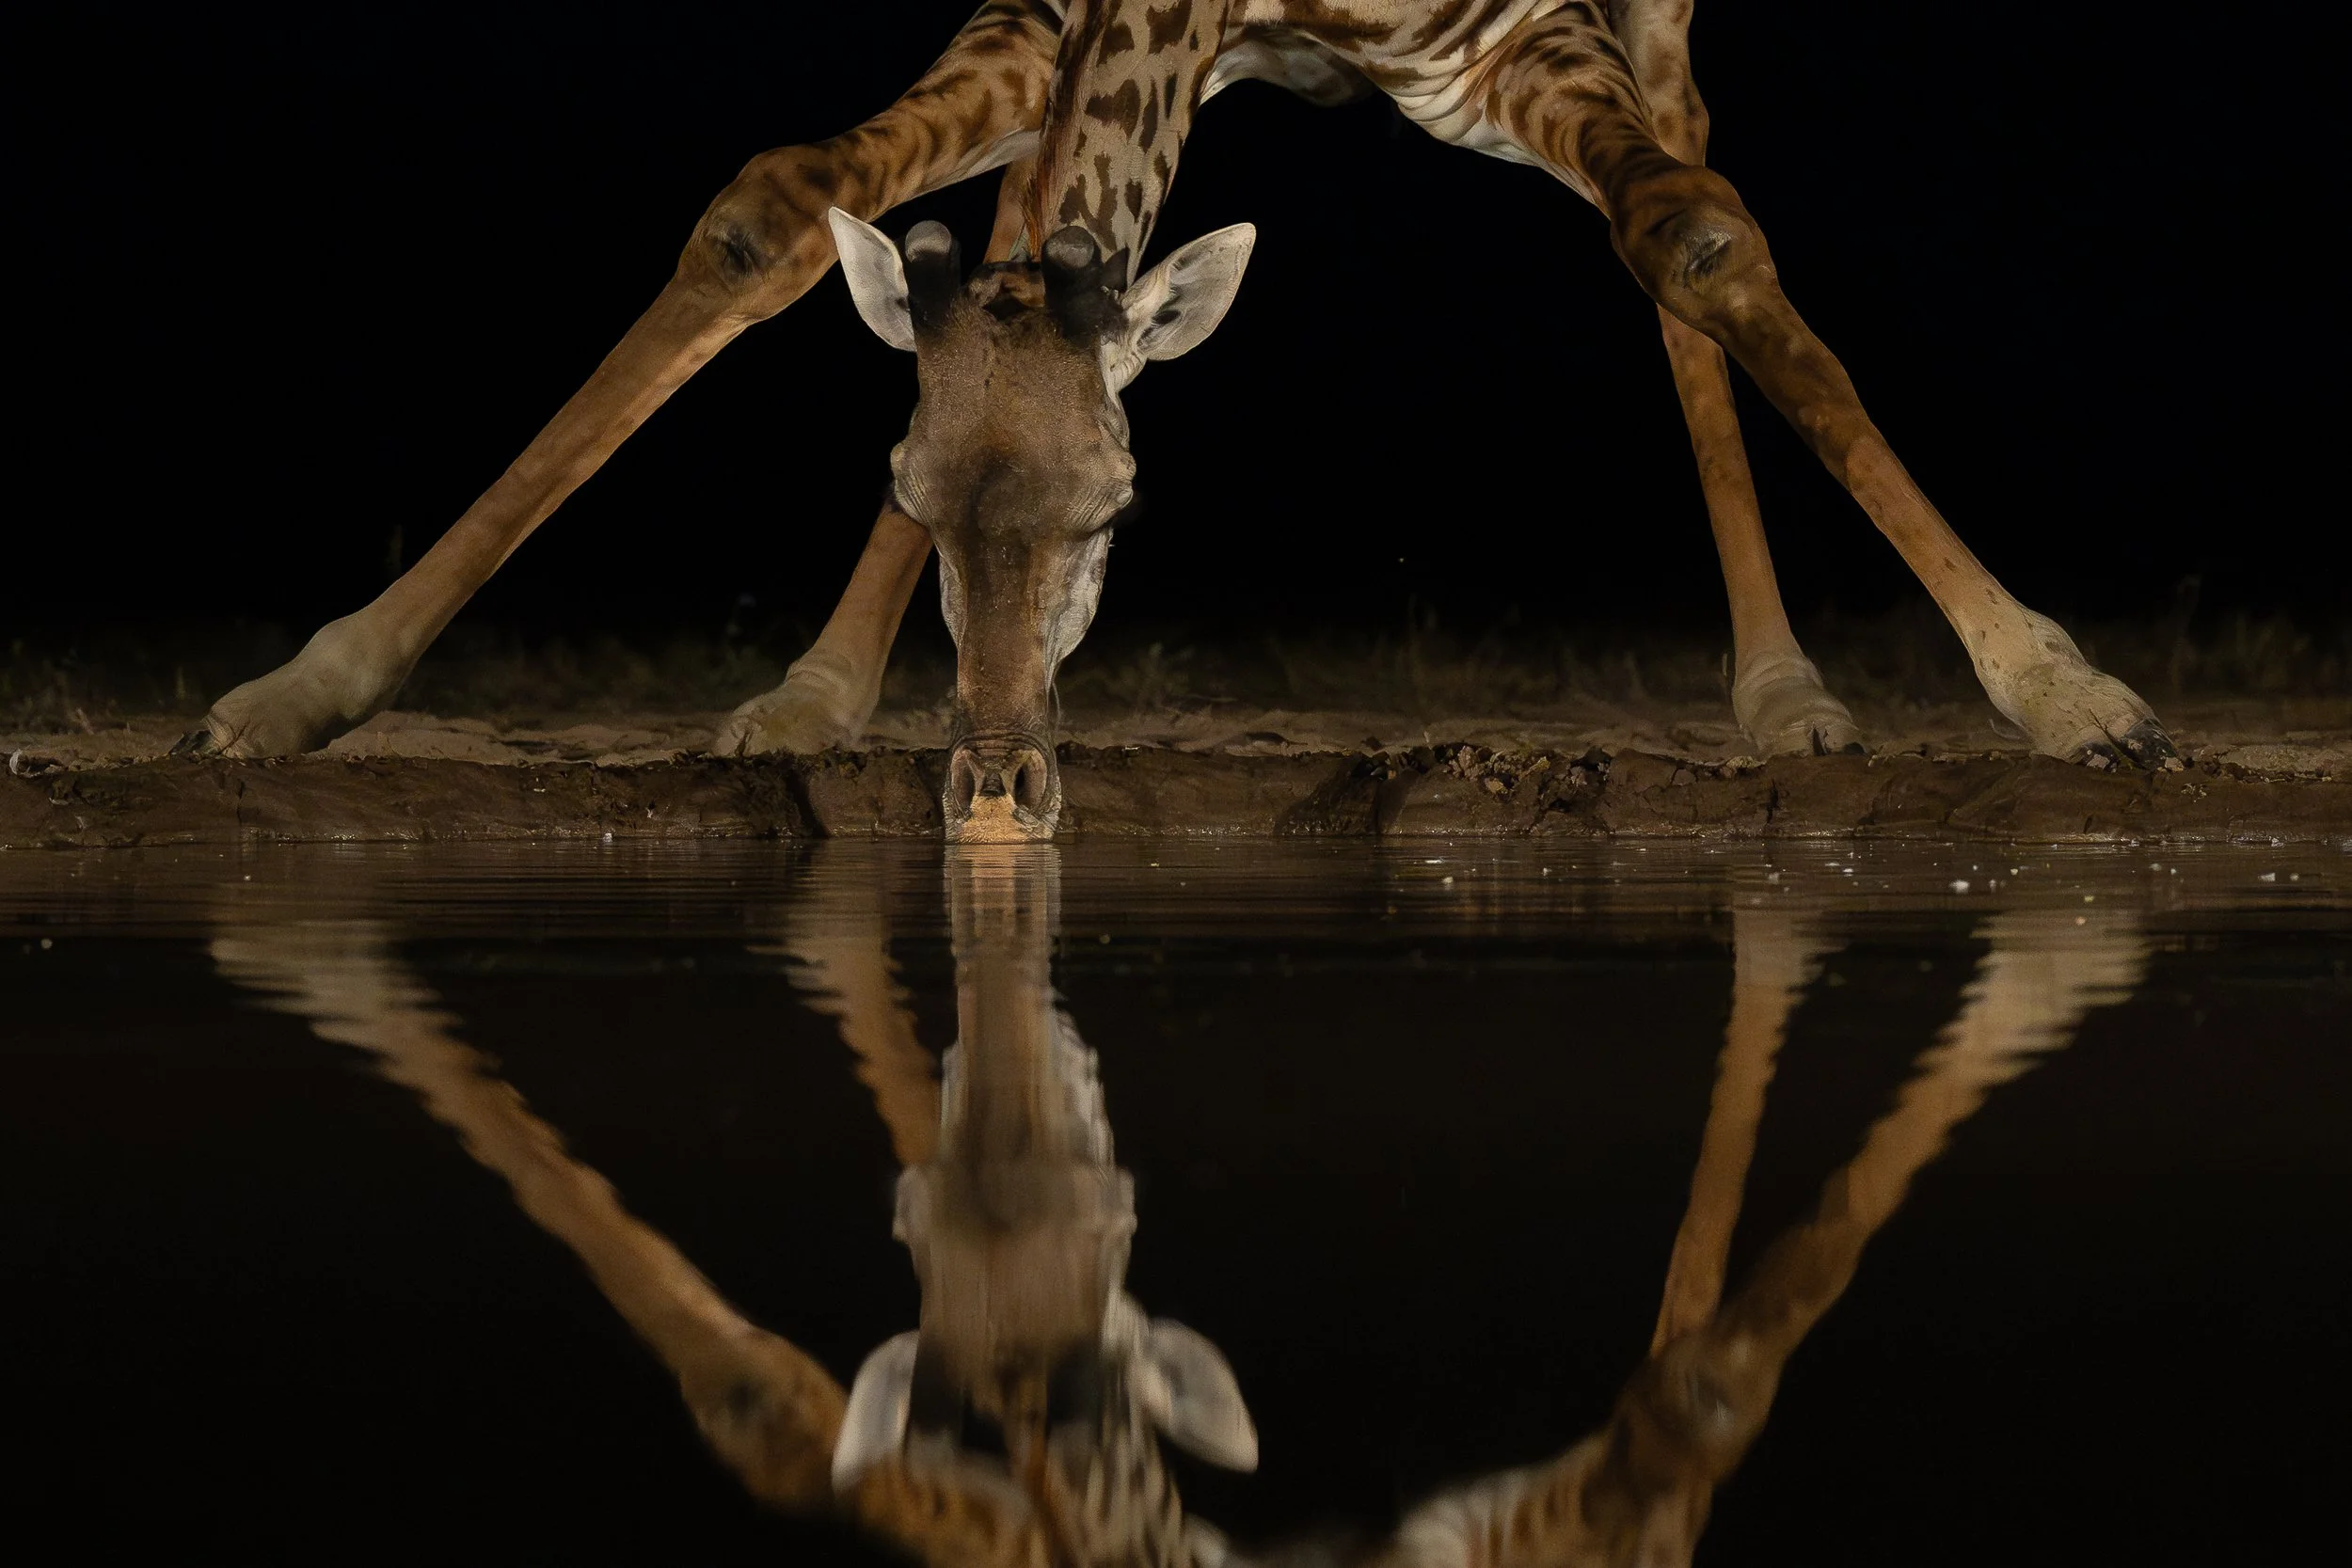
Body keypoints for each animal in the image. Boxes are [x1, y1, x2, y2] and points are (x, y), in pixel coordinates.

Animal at [178, 2, 2181, 841]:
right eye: (897, 478)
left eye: (1121, 510)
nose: (994, 786)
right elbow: (778, 211)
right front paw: (300, 689)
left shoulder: (1509, 28)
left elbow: (1694, 238)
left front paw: (2069, 690)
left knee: (1689, 218)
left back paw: (1789, 696)